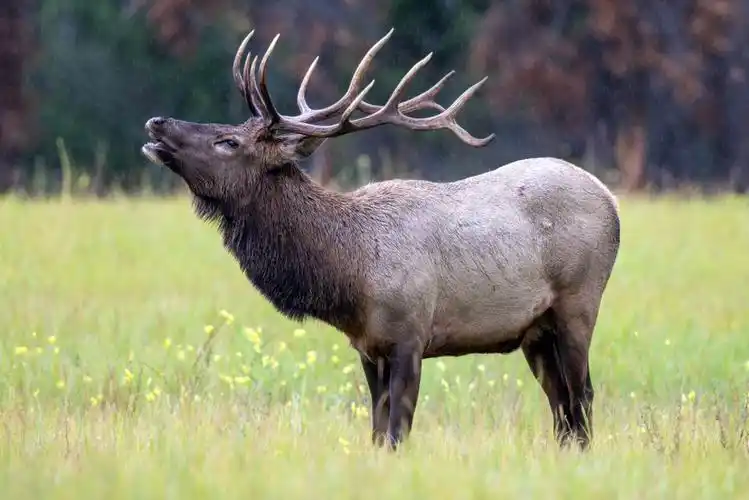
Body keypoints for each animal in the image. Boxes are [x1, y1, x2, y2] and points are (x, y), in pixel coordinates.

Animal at [142, 28, 621, 451]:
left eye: (228, 141)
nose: (156, 121)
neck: (350, 275)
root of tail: (612, 200)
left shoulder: (411, 334)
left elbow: (397, 432)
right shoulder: (367, 348)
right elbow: (376, 432)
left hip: (579, 302)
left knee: (583, 396)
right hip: (535, 331)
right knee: (561, 405)